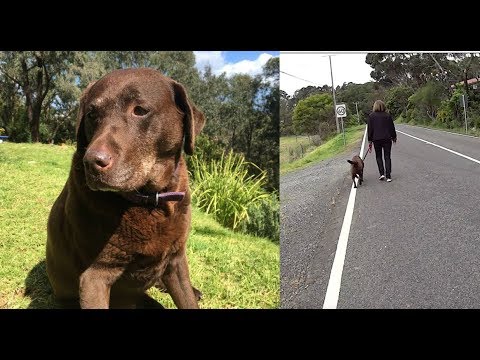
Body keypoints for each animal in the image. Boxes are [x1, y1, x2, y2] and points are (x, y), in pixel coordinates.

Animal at [47, 68, 206, 310]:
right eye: (91, 114)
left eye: (139, 110)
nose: (91, 162)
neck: (149, 200)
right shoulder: (94, 278)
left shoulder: (176, 261)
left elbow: (187, 299)